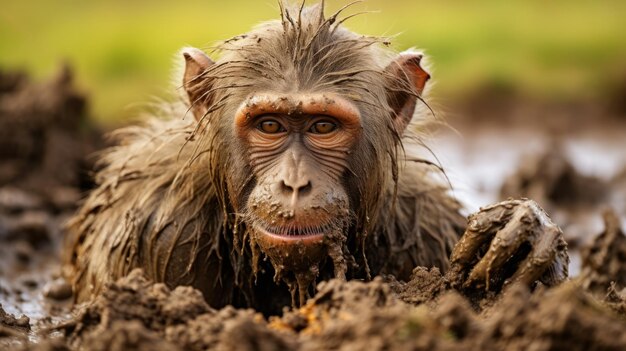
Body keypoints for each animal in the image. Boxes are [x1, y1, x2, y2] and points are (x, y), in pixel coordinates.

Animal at [63, 2, 564, 316]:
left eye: (323, 127)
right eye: (270, 126)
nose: (295, 183)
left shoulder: (430, 235)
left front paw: (522, 234)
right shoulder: (156, 239)